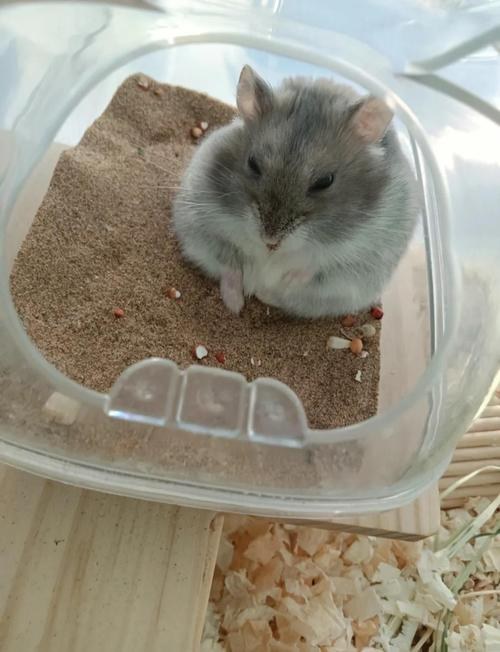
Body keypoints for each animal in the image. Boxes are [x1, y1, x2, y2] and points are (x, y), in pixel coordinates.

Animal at [173, 65, 419, 318]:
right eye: (252, 163)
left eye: (325, 181)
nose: (270, 242)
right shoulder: (205, 228)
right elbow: (230, 264)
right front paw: (237, 302)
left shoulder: (359, 256)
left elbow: (312, 268)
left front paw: (283, 281)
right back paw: (245, 297)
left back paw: (264, 292)